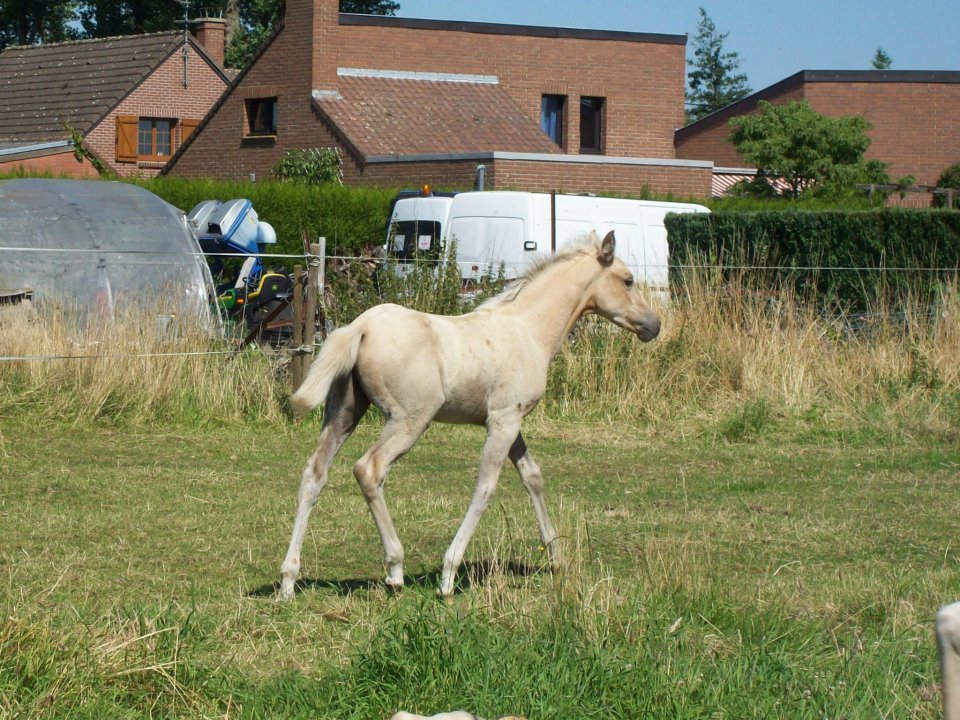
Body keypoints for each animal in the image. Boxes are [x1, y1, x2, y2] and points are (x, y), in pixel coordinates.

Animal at [280, 229, 660, 596]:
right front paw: (448, 575)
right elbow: (486, 489)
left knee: (314, 473)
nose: (654, 325)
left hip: (344, 414)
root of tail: (360, 328)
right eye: (628, 280)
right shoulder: (503, 422)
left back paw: (288, 580)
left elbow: (532, 476)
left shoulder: (511, 422)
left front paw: (555, 556)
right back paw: (395, 569)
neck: (527, 329)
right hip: (408, 420)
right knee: (369, 469)